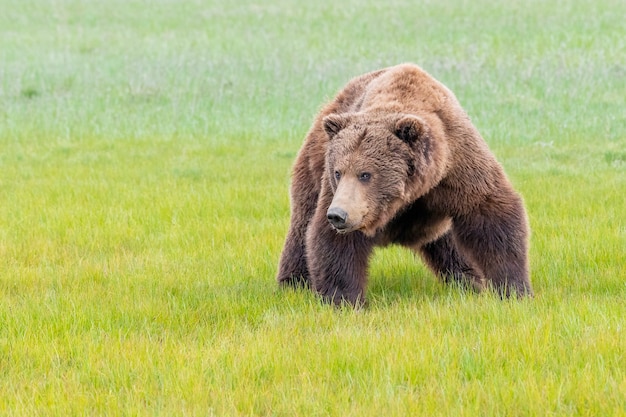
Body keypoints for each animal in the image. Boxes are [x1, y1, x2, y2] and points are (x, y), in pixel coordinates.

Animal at [276, 63, 528, 304]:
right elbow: (333, 241)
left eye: (365, 174)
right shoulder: (339, 194)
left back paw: (467, 280)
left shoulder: (457, 166)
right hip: (314, 162)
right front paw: (344, 298)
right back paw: (294, 282)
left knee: (450, 244)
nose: (338, 215)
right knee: (302, 224)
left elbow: (490, 215)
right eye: (338, 172)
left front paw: (514, 289)